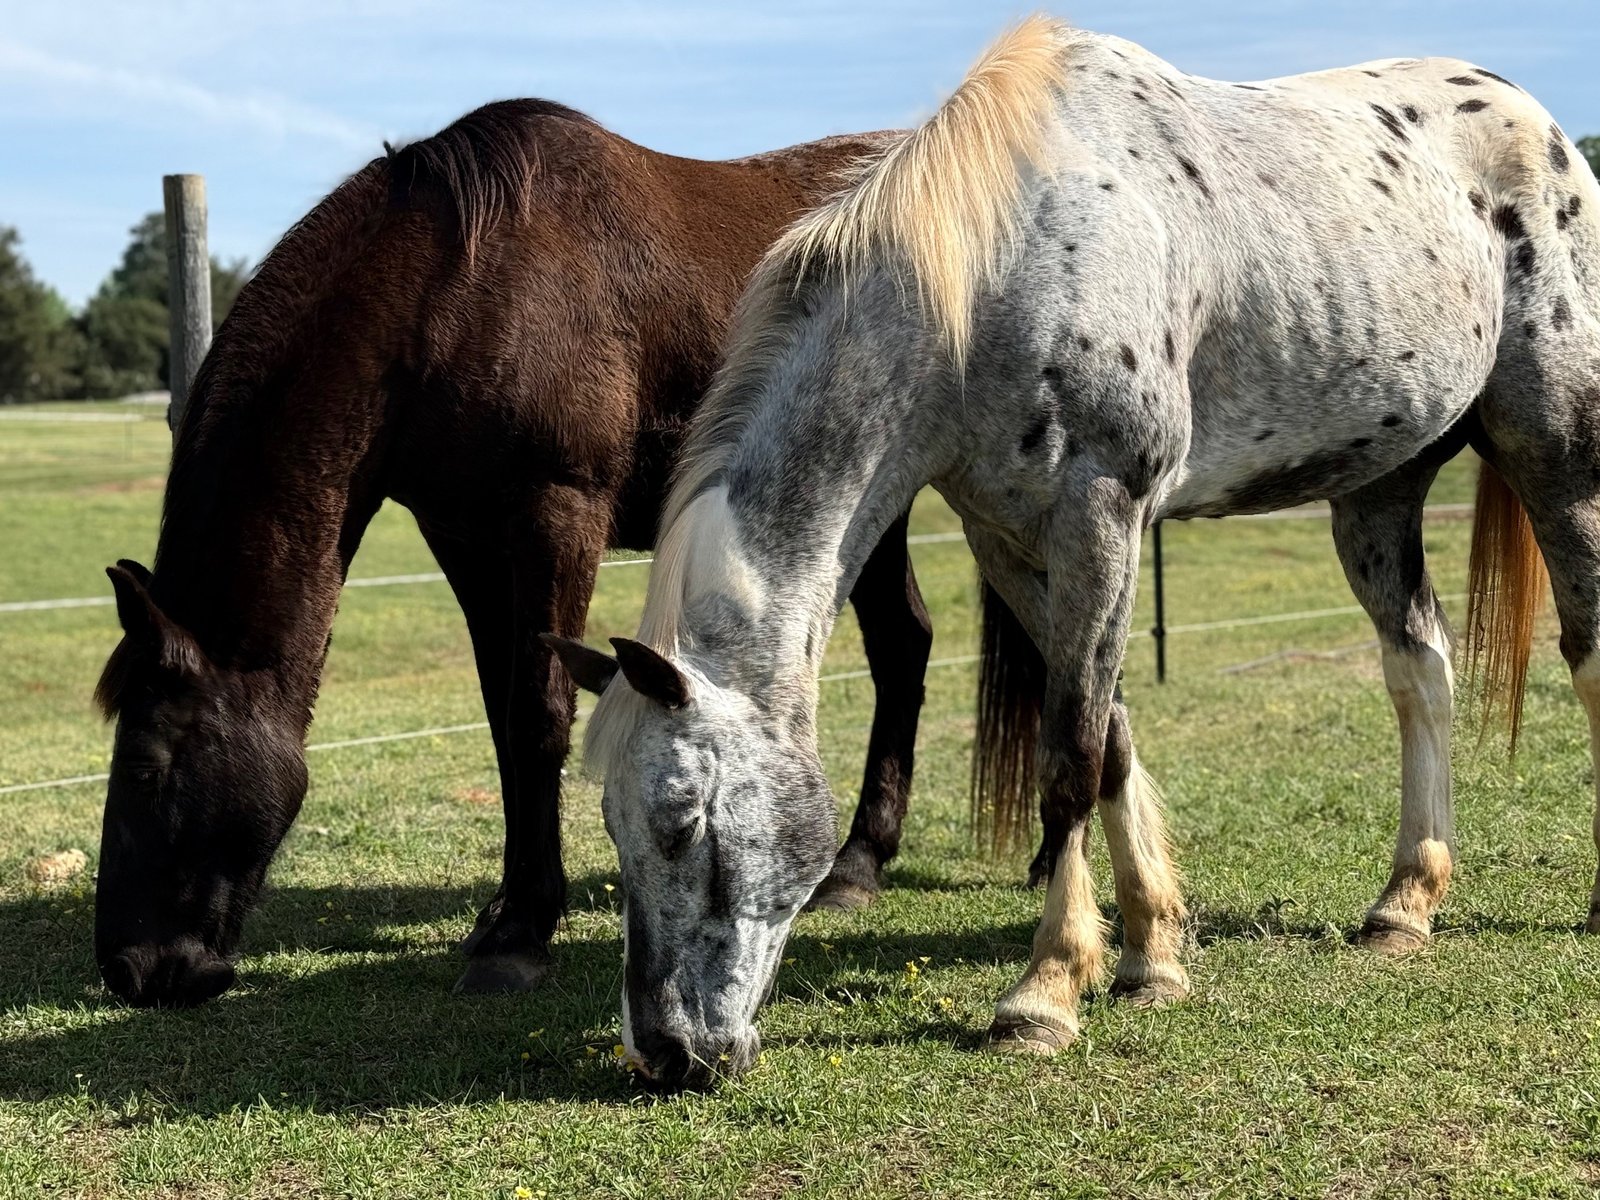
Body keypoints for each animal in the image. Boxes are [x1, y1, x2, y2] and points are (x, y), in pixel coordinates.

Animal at [90, 100, 952, 1007]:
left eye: (144, 768)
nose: (131, 969)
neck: (452, 294)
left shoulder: (556, 516)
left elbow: (539, 713)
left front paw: (521, 934)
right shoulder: (466, 539)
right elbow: (503, 718)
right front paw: (510, 907)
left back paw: (863, 863)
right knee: (905, 642)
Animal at [552, 15, 1600, 1088]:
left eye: (684, 821)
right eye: (614, 829)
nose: (665, 1051)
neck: (1001, 270)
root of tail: (1538, 123)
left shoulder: (1102, 512)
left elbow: (1070, 759)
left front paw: (1046, 992)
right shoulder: (1011, 541)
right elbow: (1113, 739)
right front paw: (1149, 955)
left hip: (1554, 447)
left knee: (1583, 643)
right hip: (1378, 491)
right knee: (1418, 669)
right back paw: (1404, 903)